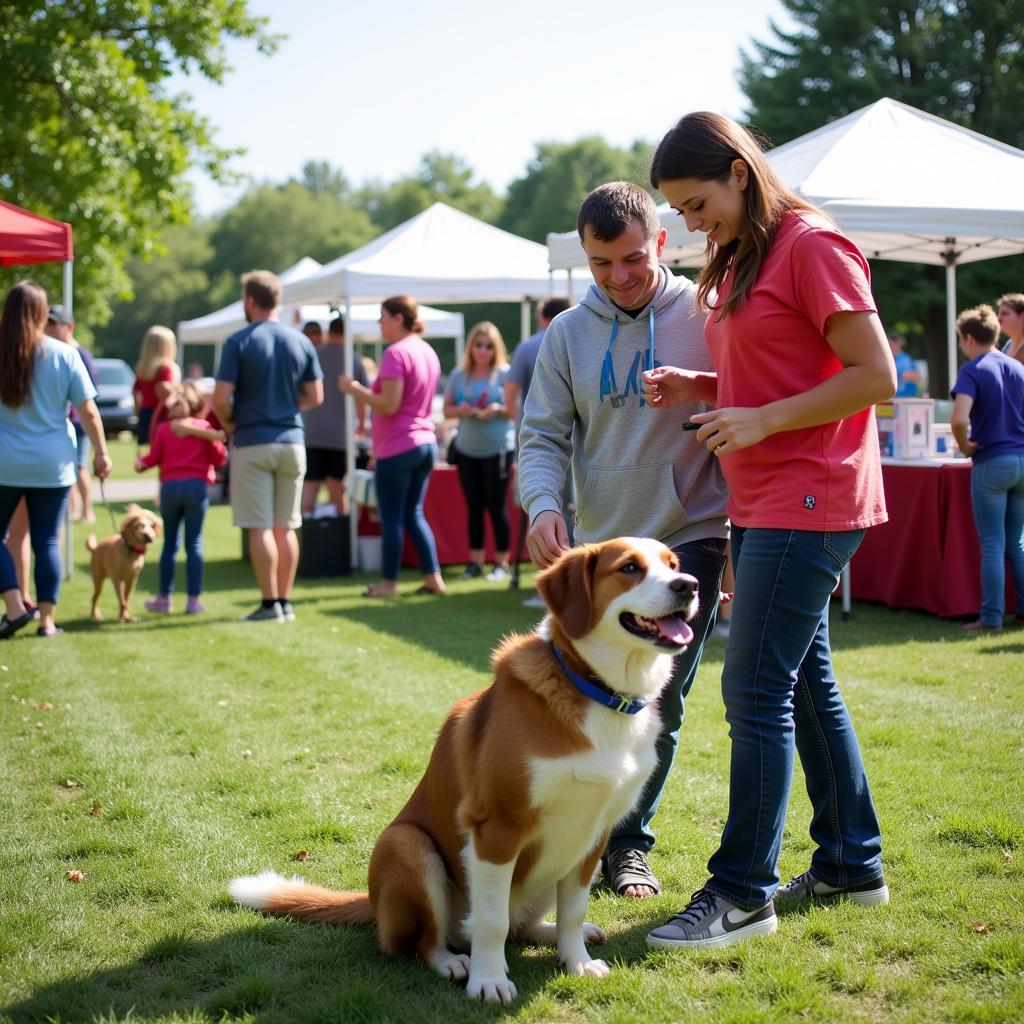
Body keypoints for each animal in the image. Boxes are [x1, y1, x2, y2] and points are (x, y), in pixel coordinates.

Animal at [229, 540, 700, 1003]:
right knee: (427, 940)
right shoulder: (497, 827)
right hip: (407, 846)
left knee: (522, 926)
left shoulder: (592, 833)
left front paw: (576, 961)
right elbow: (490, 922)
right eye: (629, 568)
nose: (690, 585)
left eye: (673, 563)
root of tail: (375, 905)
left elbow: (573, 909)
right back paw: (453, 962)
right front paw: (488, 981)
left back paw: (556, 932)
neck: (598, 692)